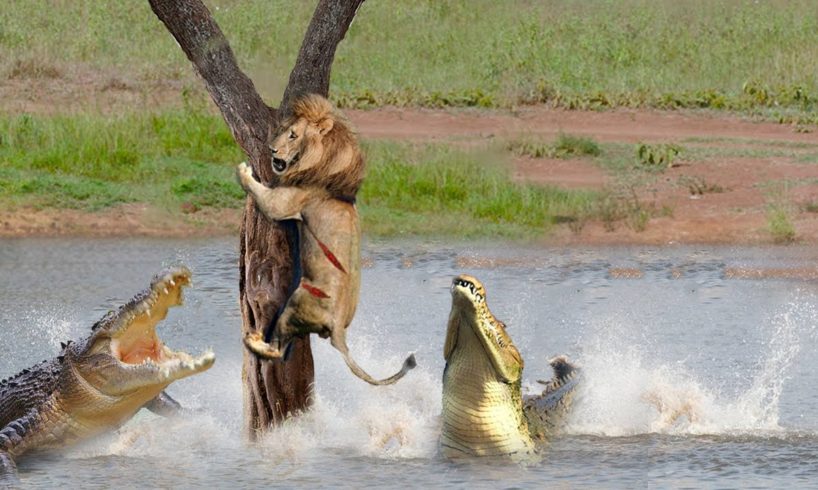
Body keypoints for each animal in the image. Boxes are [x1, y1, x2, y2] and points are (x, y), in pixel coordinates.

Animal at [236, 94, 415, 386]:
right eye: (286, 131)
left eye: (293, 135)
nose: (272, 151)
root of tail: (339, 330)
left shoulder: (282, 203)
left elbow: (259, 190)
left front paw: (243, 170)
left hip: (295, 303)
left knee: (276, 351)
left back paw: (254, 340)